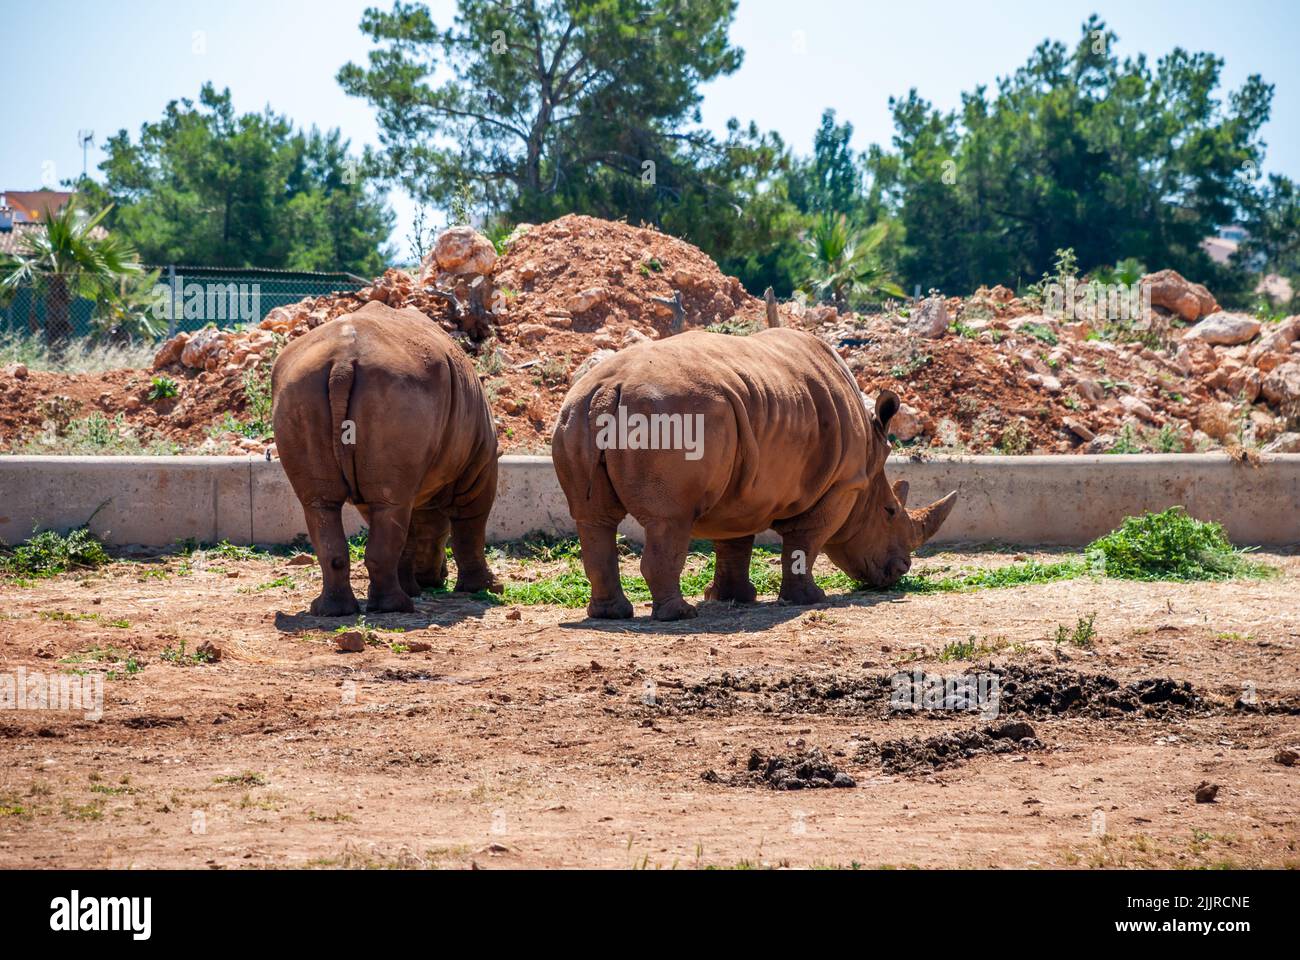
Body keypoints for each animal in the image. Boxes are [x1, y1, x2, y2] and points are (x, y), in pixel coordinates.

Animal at [271, 299, 499, 613]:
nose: (436, 578)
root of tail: (342, 363)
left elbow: (412, 531)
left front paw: (416, 584)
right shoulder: (479, 463)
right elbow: (470, 523)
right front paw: (485, 588)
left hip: (299, 389)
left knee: (324, 505)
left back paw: (332, 611)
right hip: (400, 389)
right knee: (389, 505)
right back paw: (397, 607)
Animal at [548, 325, 956, 616]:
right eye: (890, 512)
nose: (900, 571)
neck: (870, 465)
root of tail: (607, 390)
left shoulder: (744, 488)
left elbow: (735, 542)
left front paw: (735, 597)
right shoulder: (842, 484)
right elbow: (806, 541)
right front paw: (811, 598)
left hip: (576, 413)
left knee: (594, 518)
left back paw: (610, 614)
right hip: (668, 416)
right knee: (670, 520)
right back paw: (680, 615)